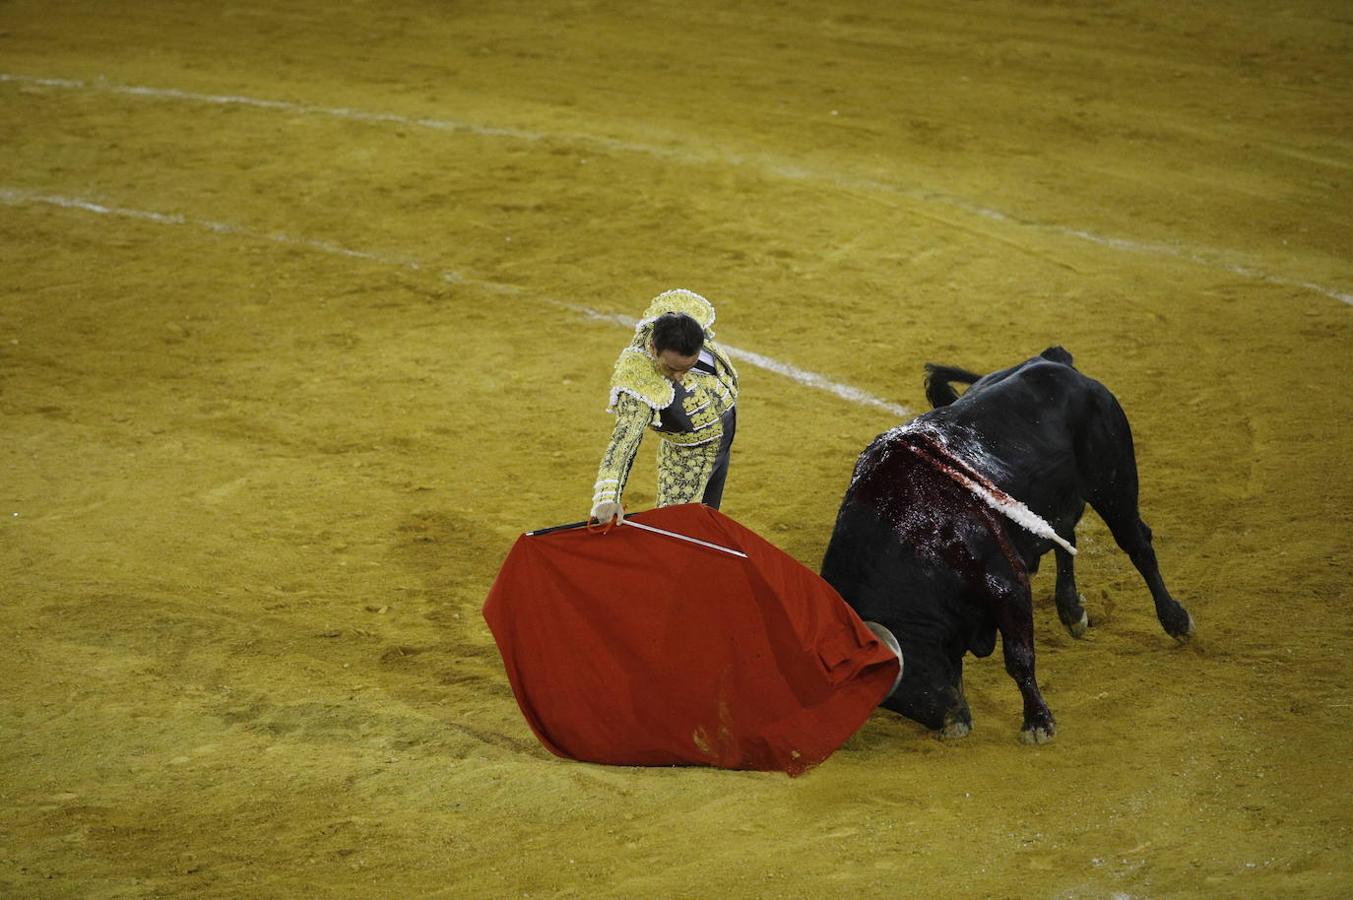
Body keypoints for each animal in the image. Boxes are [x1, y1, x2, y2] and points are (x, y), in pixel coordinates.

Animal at [811, 346, 1196, 741]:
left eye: (912, 669)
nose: (950, 722)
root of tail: (1055, 361)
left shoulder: (1006, 585)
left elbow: (1018, 657)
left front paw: (1038, 722)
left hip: (1114, 485)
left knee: (1138, 545)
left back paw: (1175, 620)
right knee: (1067, 538)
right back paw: (1071, 610)